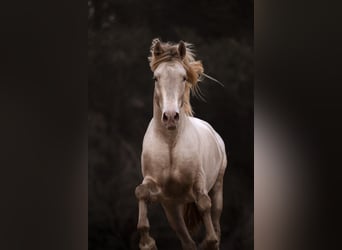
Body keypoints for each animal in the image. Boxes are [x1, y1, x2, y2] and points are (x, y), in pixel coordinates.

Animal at [135, 39, 228, 250]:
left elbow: (204, 205)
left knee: (216, 223)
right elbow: (141, 191)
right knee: (187, 242)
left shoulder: (198, 183)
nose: (170, 117)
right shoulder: (157, 187)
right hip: (173, 209)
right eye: (156, 78)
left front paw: (209, 242)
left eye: (184, 77)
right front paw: (147, 242)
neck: (171, 142)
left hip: (217, 189)